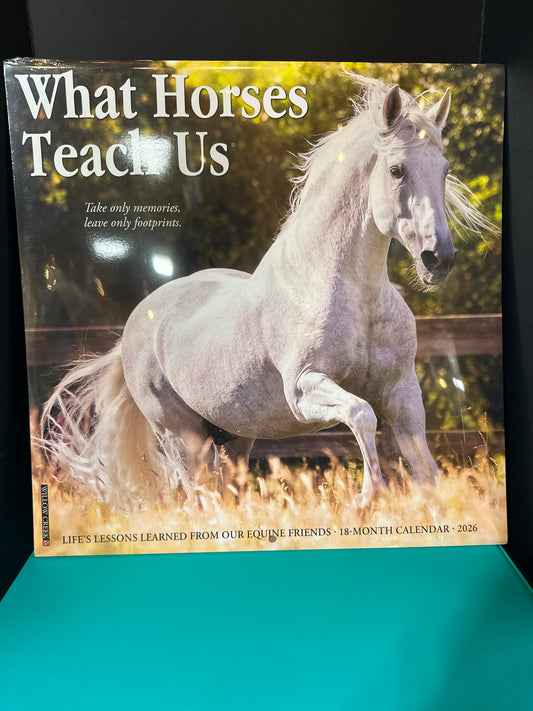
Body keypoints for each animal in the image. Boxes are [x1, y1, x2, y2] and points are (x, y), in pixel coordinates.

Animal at [40, 75, 490, 509]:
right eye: (397, 170)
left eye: (444, 169)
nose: (439, 258)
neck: (352, 297)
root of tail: (134, 327)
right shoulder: (305, 389)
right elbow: (362, 414)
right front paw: (368, 497)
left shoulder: (402, 392)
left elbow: (426, 473)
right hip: (181, 437)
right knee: (202, 501)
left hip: (235, 436)